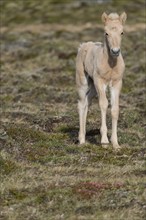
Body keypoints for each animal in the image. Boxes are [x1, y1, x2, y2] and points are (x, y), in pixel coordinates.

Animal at [76, 12, 127, 150]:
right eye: (106, 33)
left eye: (122, 32)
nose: (115, 51)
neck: (111, 64)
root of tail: (83, 45)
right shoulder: (100, 82)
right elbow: (103, 104)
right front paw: (104, 141)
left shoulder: (116, 83)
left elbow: (115, 109)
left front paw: (115, 143)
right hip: (83, 82)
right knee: (81, 103)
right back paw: (81, 139)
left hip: (93, 86)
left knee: (87, 102)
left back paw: (83, 138)